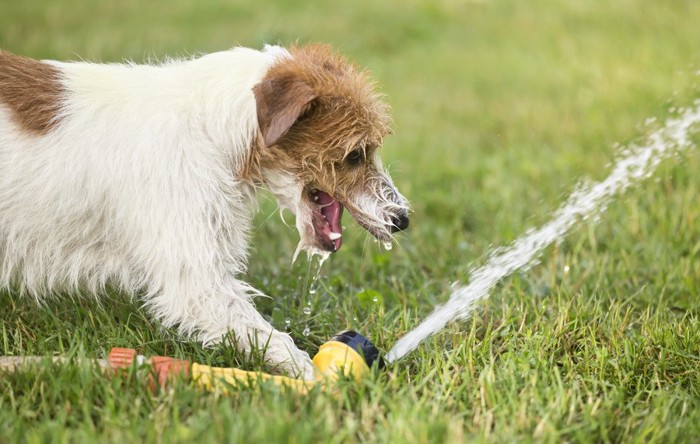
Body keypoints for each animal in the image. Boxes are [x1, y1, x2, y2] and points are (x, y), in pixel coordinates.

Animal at [0, 44, 410, 378]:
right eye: (354, 155)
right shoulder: (196, 280)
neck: (210, 130)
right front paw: (317, 380)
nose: (402, 219)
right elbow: (268, 336)